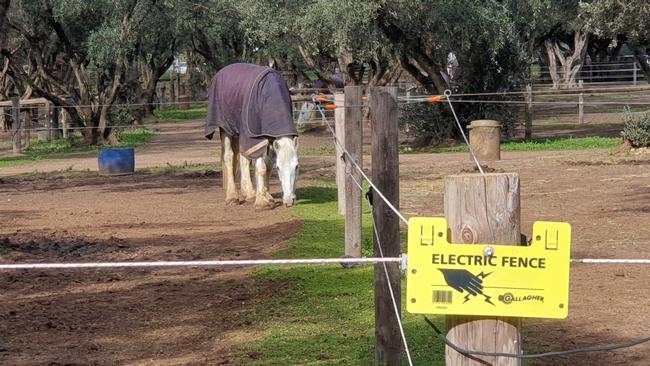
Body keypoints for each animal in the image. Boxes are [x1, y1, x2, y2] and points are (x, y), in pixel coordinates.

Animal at [202, 63, 298, 209]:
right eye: (279, 168)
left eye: (296, 166)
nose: (288, 201)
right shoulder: (254, 137)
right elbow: (261, 167)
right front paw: (262, 202)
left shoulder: (269, 135)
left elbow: (267, 164)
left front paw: (266, 195)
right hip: (226, 128)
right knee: (229, 156)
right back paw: (232, 197)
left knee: (243, 158)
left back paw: (249, 193)